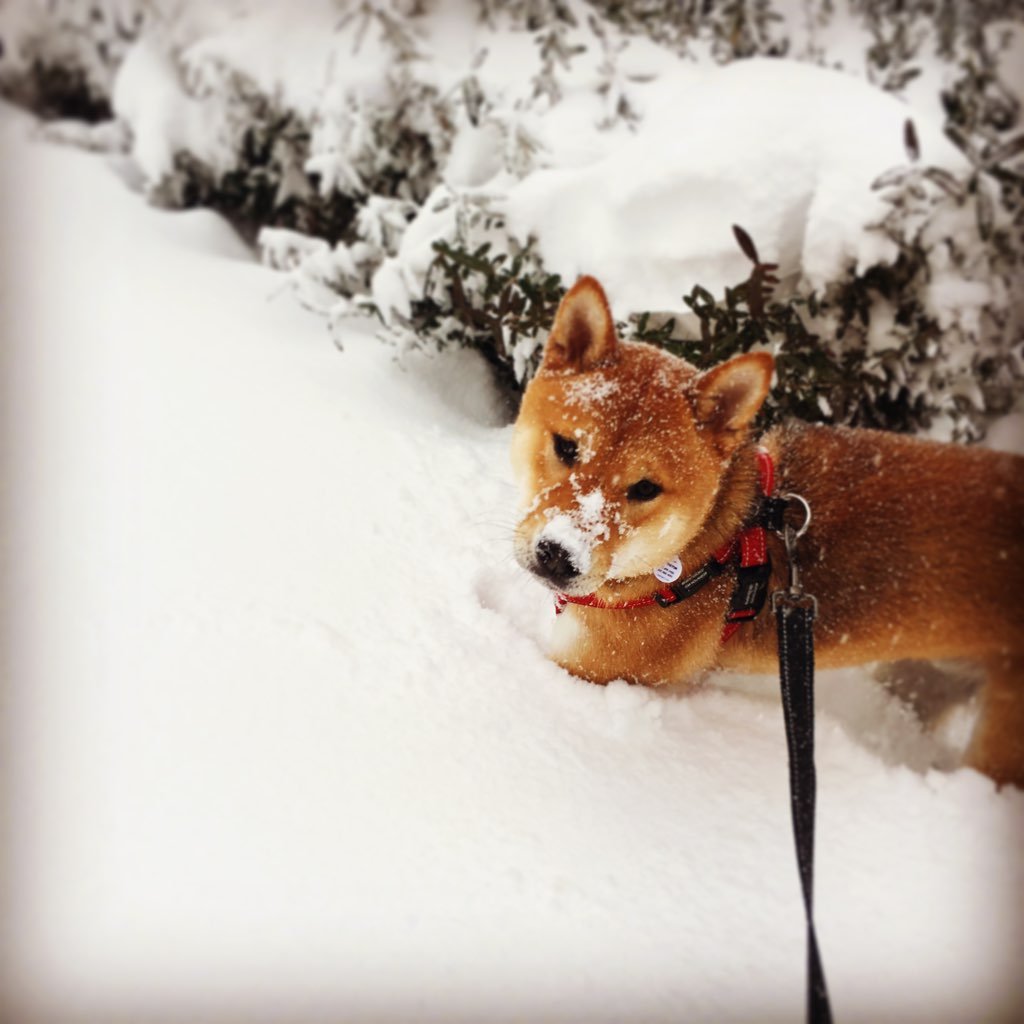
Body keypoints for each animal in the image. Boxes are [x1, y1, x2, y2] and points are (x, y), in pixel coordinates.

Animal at [512, 272, 1024, 782]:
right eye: (566, 446)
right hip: (924, 676)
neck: (709, 551)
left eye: (644, 488)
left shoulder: (597, 670)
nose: (558, 555)